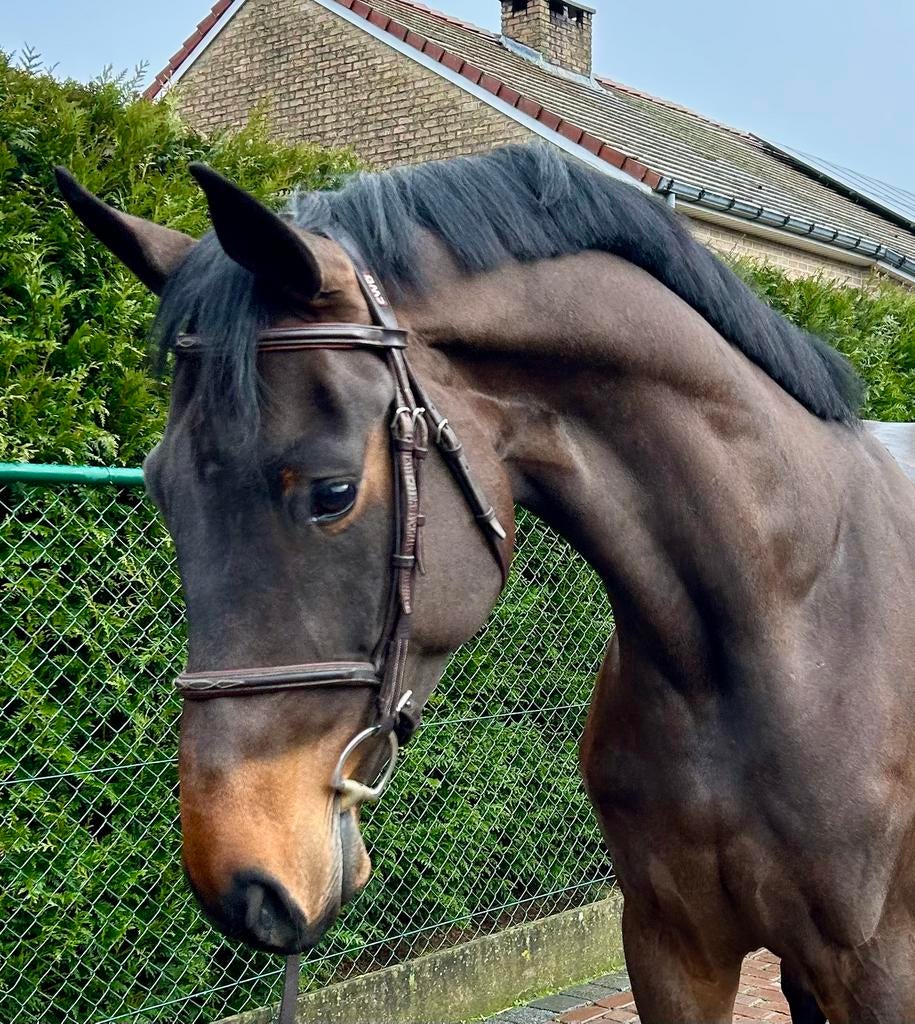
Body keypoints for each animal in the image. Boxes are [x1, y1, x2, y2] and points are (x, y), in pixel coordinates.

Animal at [57, 144, 915, 1024]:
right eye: (160, 489)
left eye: (332, 493)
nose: (239, 882)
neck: (784, 615)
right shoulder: (674, 948)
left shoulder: (879, 966)